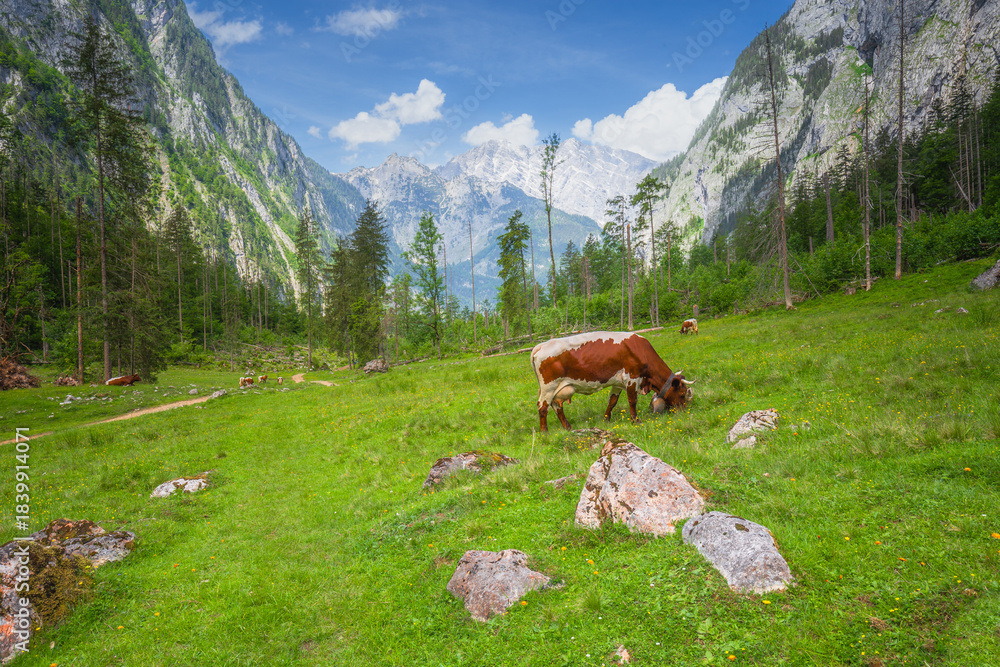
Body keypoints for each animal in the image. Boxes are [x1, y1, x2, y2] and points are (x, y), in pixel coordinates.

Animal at [531, 331, 694, 432]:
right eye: (682, 393)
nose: (684, 412)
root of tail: (540, 345)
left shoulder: (617, 383)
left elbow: (612, 401)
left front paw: (606, 419)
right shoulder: (632, 378)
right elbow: (632, 401)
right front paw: (636, 420)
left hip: (556, 389)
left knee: (557, 406)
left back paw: (568, 427)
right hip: (549, 387)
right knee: (543, 406)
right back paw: (544, 432)